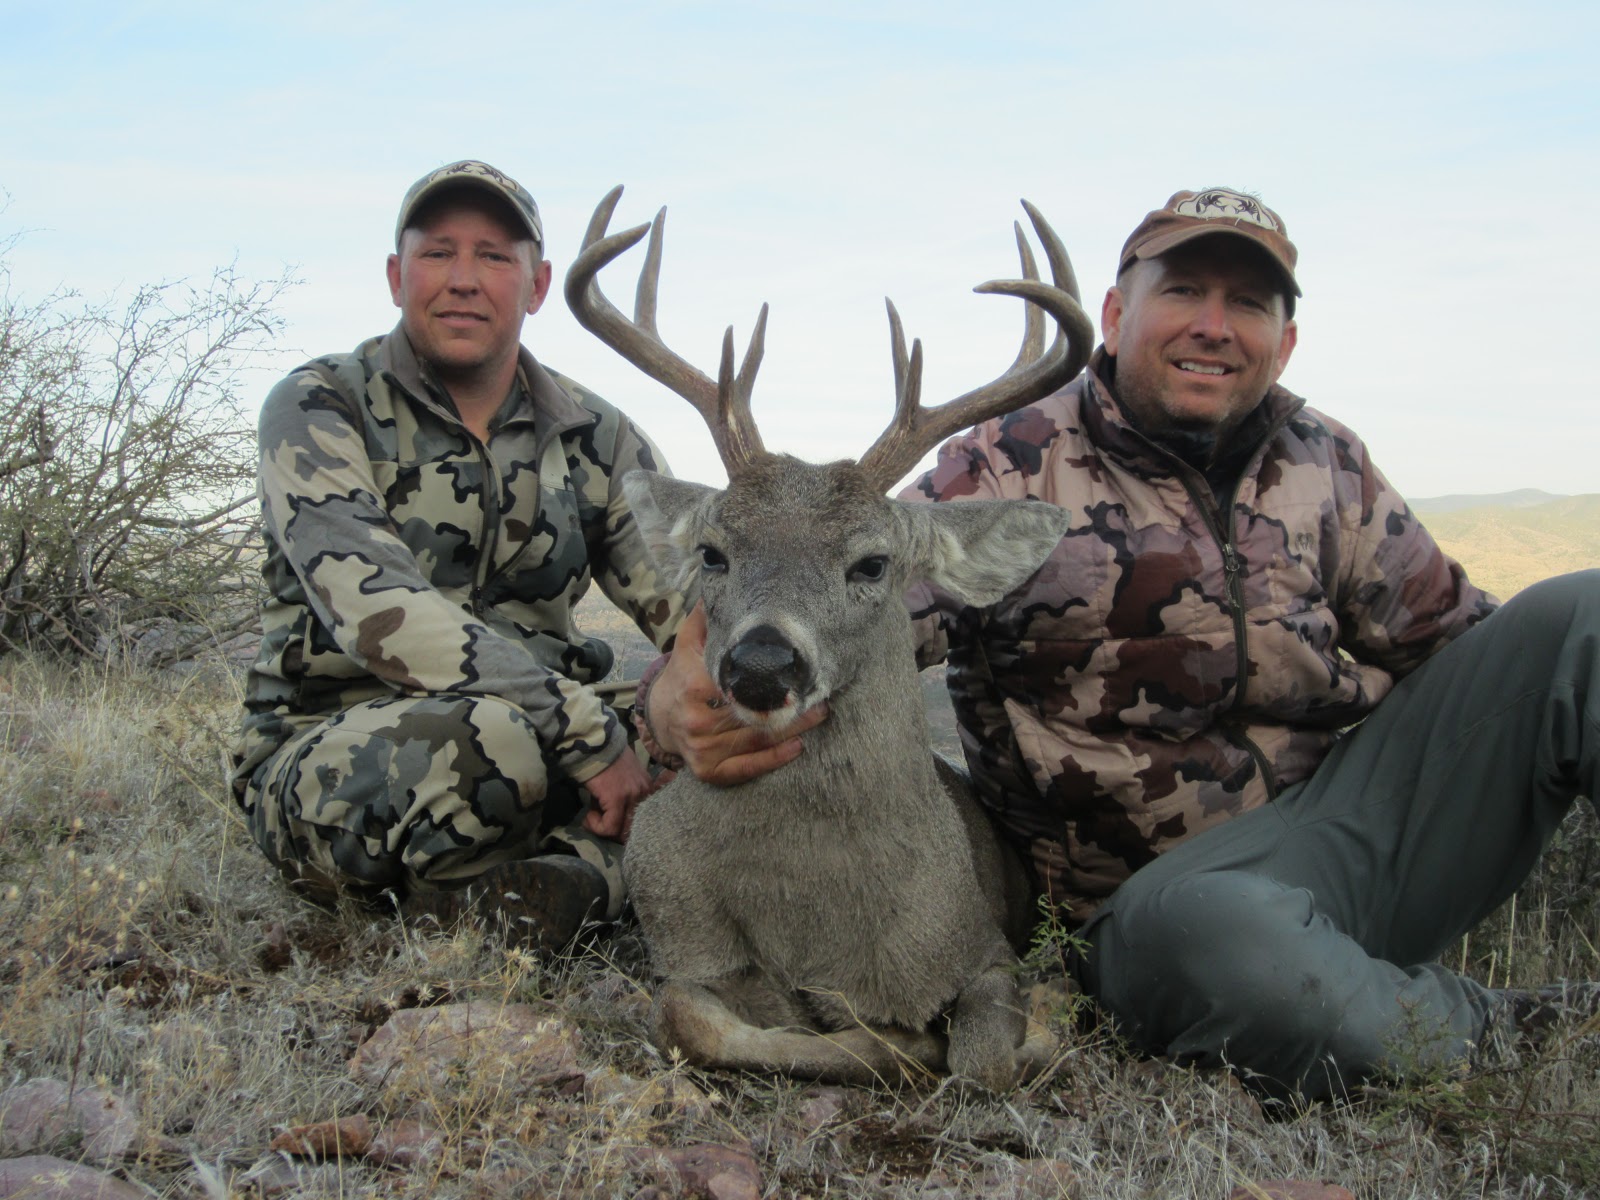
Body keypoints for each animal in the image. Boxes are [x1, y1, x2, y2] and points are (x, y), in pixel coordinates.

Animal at [564, 188, 1093, 1091]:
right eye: (714, 552)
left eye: (873, 562)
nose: (762, 662)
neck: (813, 920)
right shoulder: (679, 942)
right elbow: (692, 1020)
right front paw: (889, 1038)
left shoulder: (982, 946)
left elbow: (983, 1057)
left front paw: (1027, 1021)